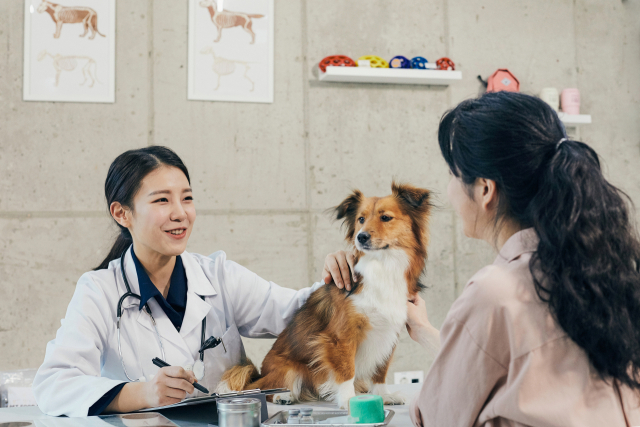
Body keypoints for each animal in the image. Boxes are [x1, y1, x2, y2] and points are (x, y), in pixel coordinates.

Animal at [218, 182, 432, 410]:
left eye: (386, 217)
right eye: (361, 219)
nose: (361, 237)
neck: (382, 264)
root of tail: (260, 374)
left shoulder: (388, 334)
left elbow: (380, 371)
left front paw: (384, 395)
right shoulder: (341, 337)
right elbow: (346, 370)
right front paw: (349, 400)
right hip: (289, 369)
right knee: (265, 388)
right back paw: (282, 396)